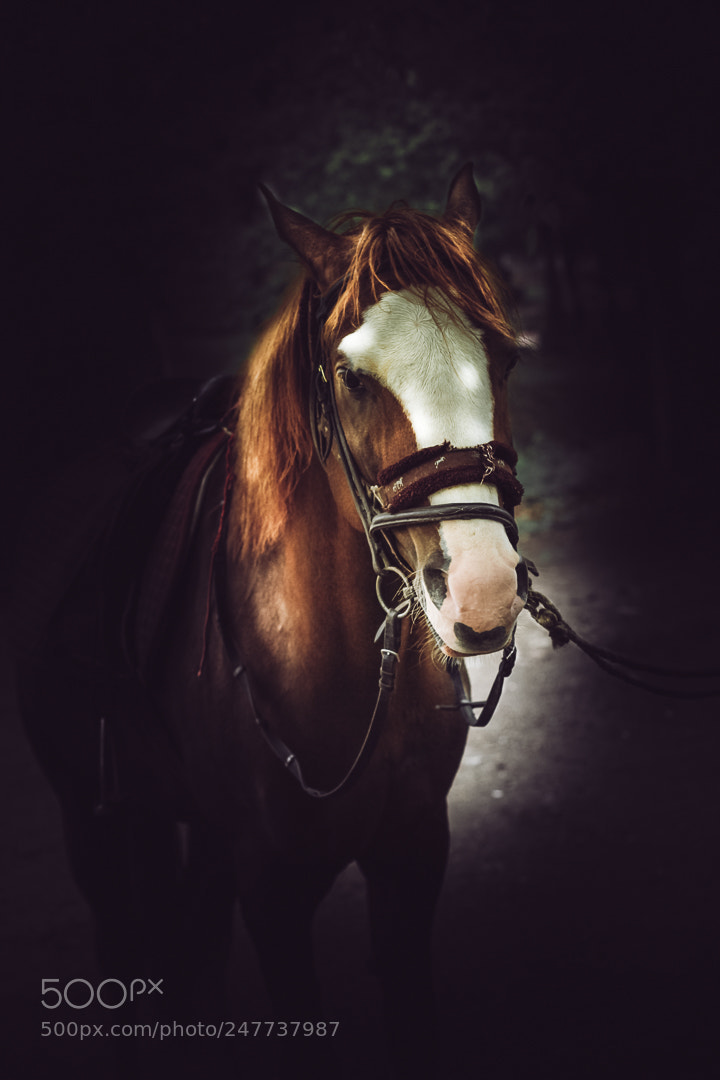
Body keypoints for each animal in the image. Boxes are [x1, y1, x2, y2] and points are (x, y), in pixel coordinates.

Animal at [13, 164, 527, 1078]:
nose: (482, 591)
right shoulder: (273, 894)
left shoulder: (411, 856)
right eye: (351, 376)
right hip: (90, 817)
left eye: (501, 354)